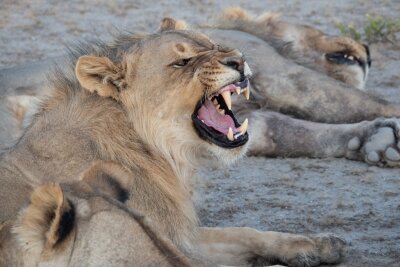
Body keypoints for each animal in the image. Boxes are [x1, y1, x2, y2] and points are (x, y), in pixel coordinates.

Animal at [0, 15, 350, 266]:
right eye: (181, 63)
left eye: (213, 44)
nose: (239, 59)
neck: (161, 153)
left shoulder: (177, 234)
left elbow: (244, 233)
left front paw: (318, 245)